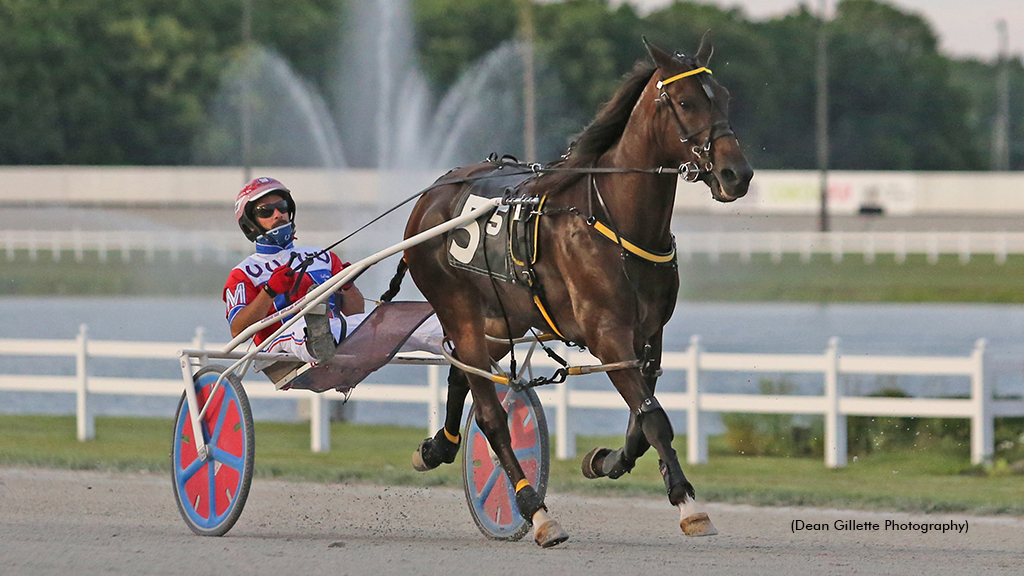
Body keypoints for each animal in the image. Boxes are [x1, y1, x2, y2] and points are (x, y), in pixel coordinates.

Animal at [395, 35, 749, 541]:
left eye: (724, 97)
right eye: (685, 102)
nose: (737, 174)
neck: (615, 219)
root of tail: (432, 195)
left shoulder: (650, 334)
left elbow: (642, 421)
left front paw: (607, 460)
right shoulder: (606, 333)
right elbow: (654, 417)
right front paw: (687, 502)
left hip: (499, 319)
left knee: (463, 373)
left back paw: (438, 447)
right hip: (457, 307)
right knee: (491, 415)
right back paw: (535, 508)